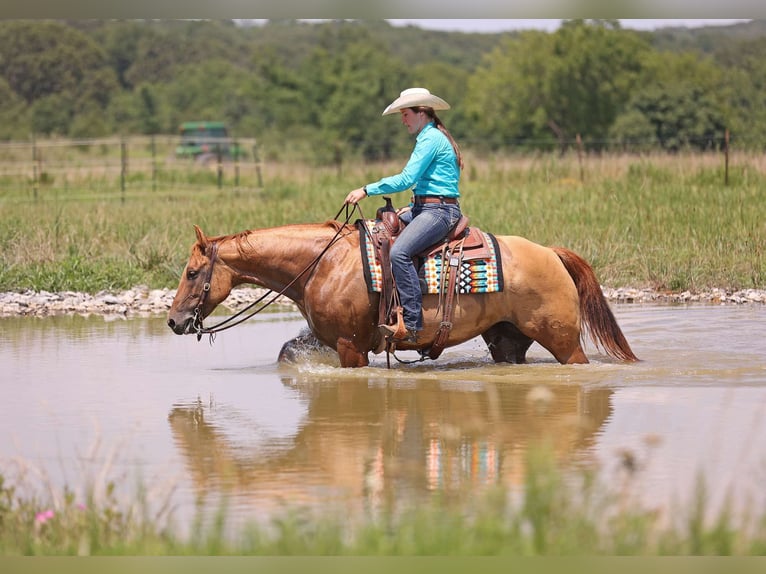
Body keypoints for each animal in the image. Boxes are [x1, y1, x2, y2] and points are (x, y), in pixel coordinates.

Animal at [167, 221, 638, 368]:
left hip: (563, 340)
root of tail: (552, 254)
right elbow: (287, 353)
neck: (321, 263)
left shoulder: (349, 345)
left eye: (191, 273)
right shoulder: (324, 337)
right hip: (507, 340)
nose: (173, 321)